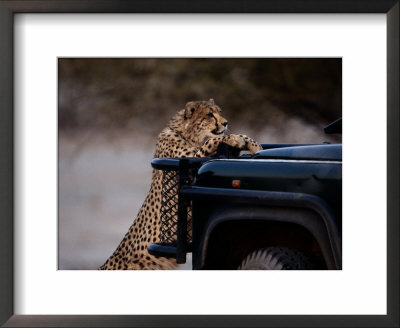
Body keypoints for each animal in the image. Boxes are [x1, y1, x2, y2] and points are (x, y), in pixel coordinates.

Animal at [100, 99, 262, 270]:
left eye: (219, 112)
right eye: (209, 115)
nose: (225, 123)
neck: (186, 133)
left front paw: (254, 145)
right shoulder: (194, 159)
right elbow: (213, 141)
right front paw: (234, 139)